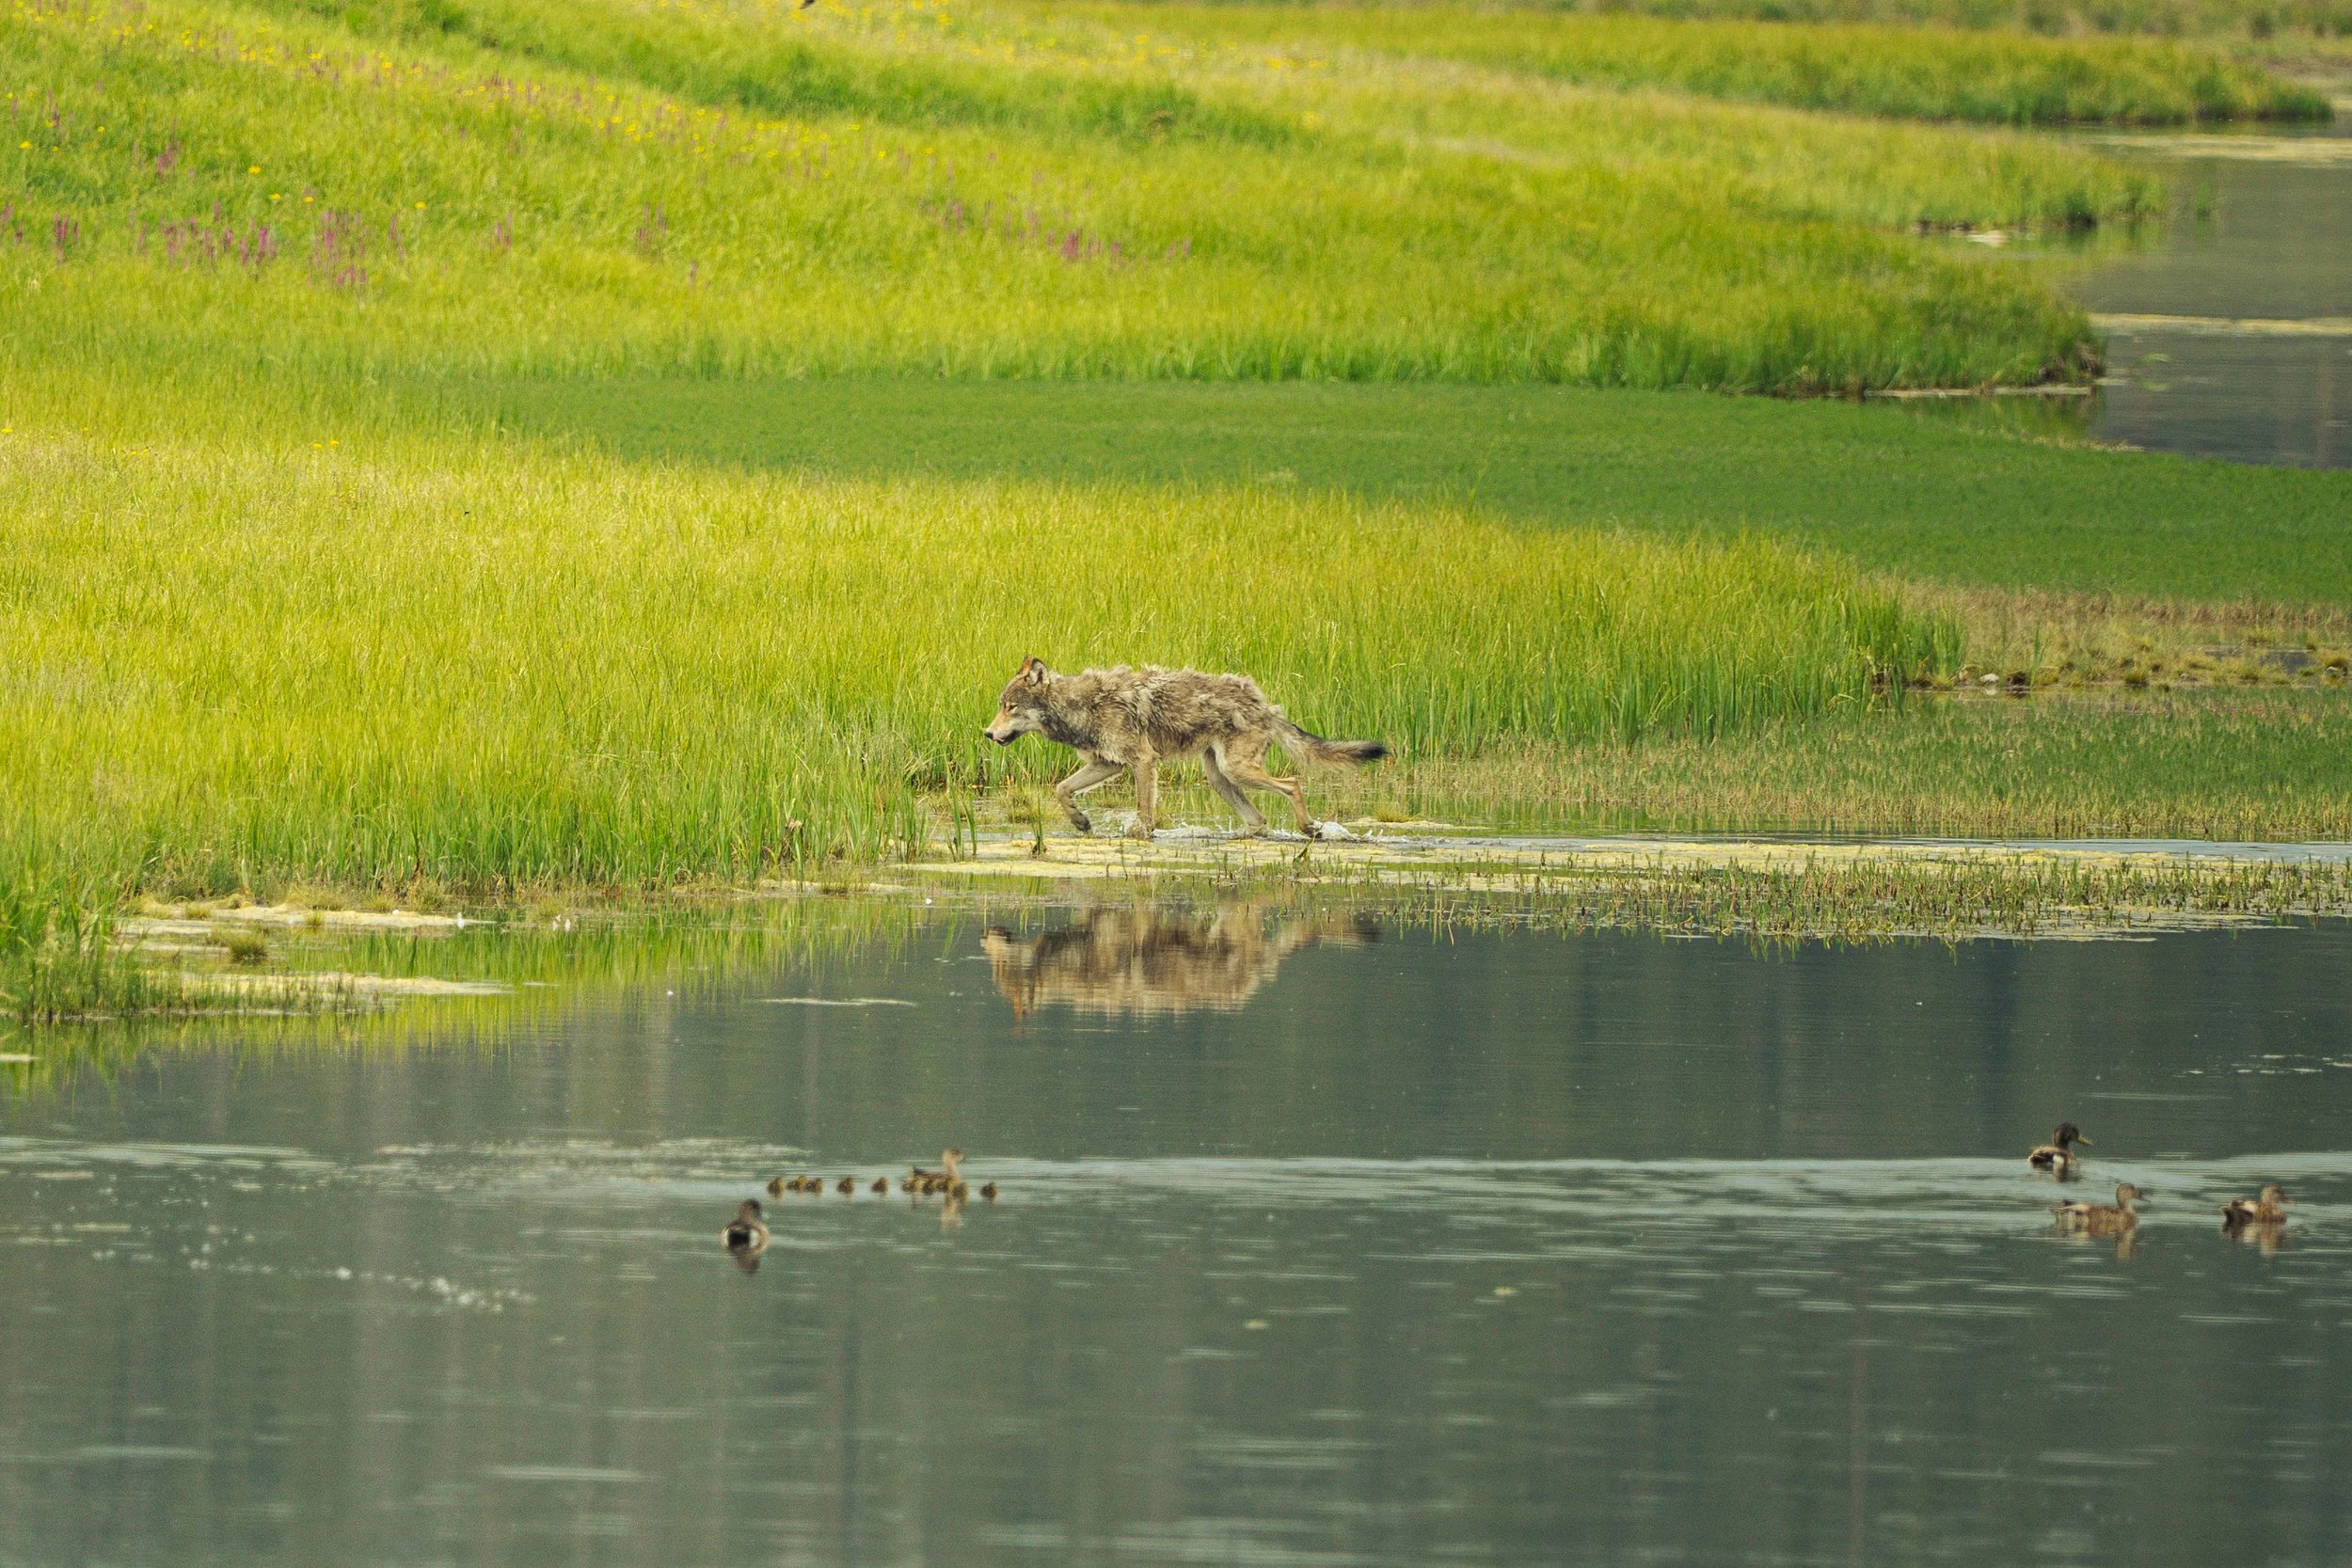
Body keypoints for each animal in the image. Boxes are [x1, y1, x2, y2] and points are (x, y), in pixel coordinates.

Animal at [981, 656, 1386, 838]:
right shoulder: (1108, 764)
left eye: (1010, 708)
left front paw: (1140, 835)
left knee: (1293, 784)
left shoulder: (1143, 762)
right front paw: (1080, 821)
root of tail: (1265, 704)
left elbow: (1144, 811)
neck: (1080, 705)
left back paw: (1309, 828)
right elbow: (1061, 789)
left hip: (1238, 771)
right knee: (1259, 820)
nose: (986, 733)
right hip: (1220, 778)